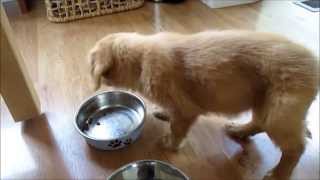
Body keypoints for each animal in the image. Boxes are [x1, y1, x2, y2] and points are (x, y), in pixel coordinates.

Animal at [89, 31, 318, 180]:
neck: (140, 60)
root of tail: (314, 63)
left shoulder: (185, 110)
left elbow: (177, 129)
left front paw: (169, 143)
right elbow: (171, 115)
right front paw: (164, 113)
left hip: (279, 112)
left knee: (296, 148)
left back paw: (279, 173)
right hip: (264, 103)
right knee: (259, 122)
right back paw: (240, 130)